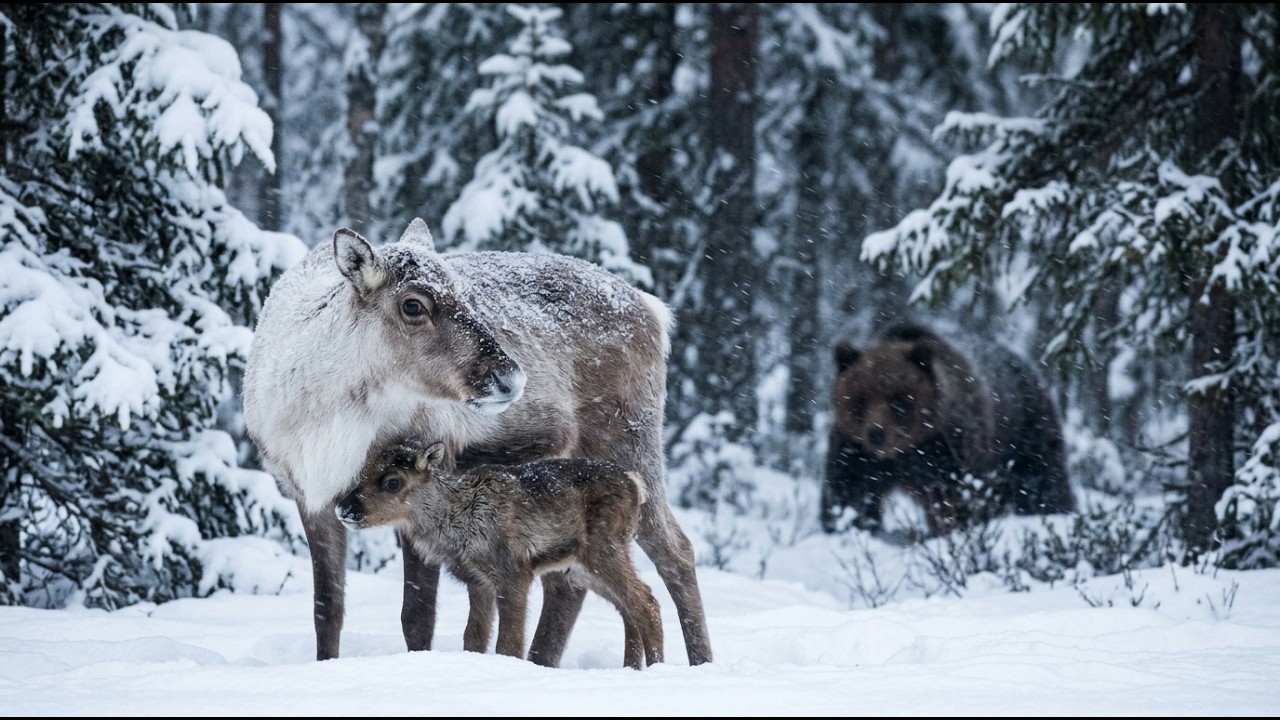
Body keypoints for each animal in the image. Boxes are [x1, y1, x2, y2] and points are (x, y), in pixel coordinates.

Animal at [336, 436, 664, 669]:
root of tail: (636, 484)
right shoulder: (478, 581)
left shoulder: (515, 571)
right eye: (362, 473)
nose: (344, 509)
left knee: (646, 600)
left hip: (604, 548)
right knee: (629, 606)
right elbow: (474, 635)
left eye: (393, 481)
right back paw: (633, 669)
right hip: (580, 568)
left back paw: (657, 667)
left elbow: (509, 642)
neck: (461, 522)